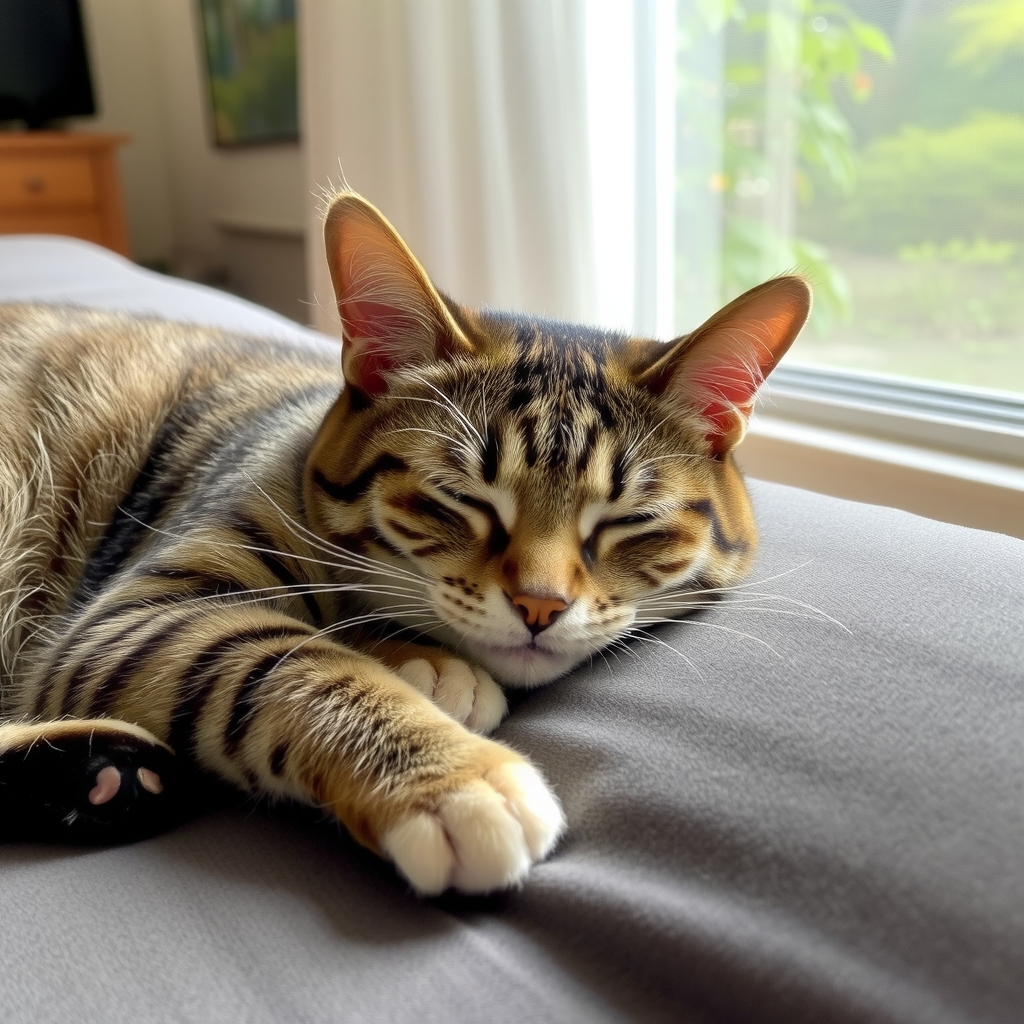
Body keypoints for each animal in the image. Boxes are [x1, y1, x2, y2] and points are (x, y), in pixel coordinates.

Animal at [0, 193, 806, 897]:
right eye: (459, 497)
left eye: (630, 520)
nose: (540, 606)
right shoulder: (134, 615)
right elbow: (296, 659)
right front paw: (453, 775)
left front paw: (424, 661)